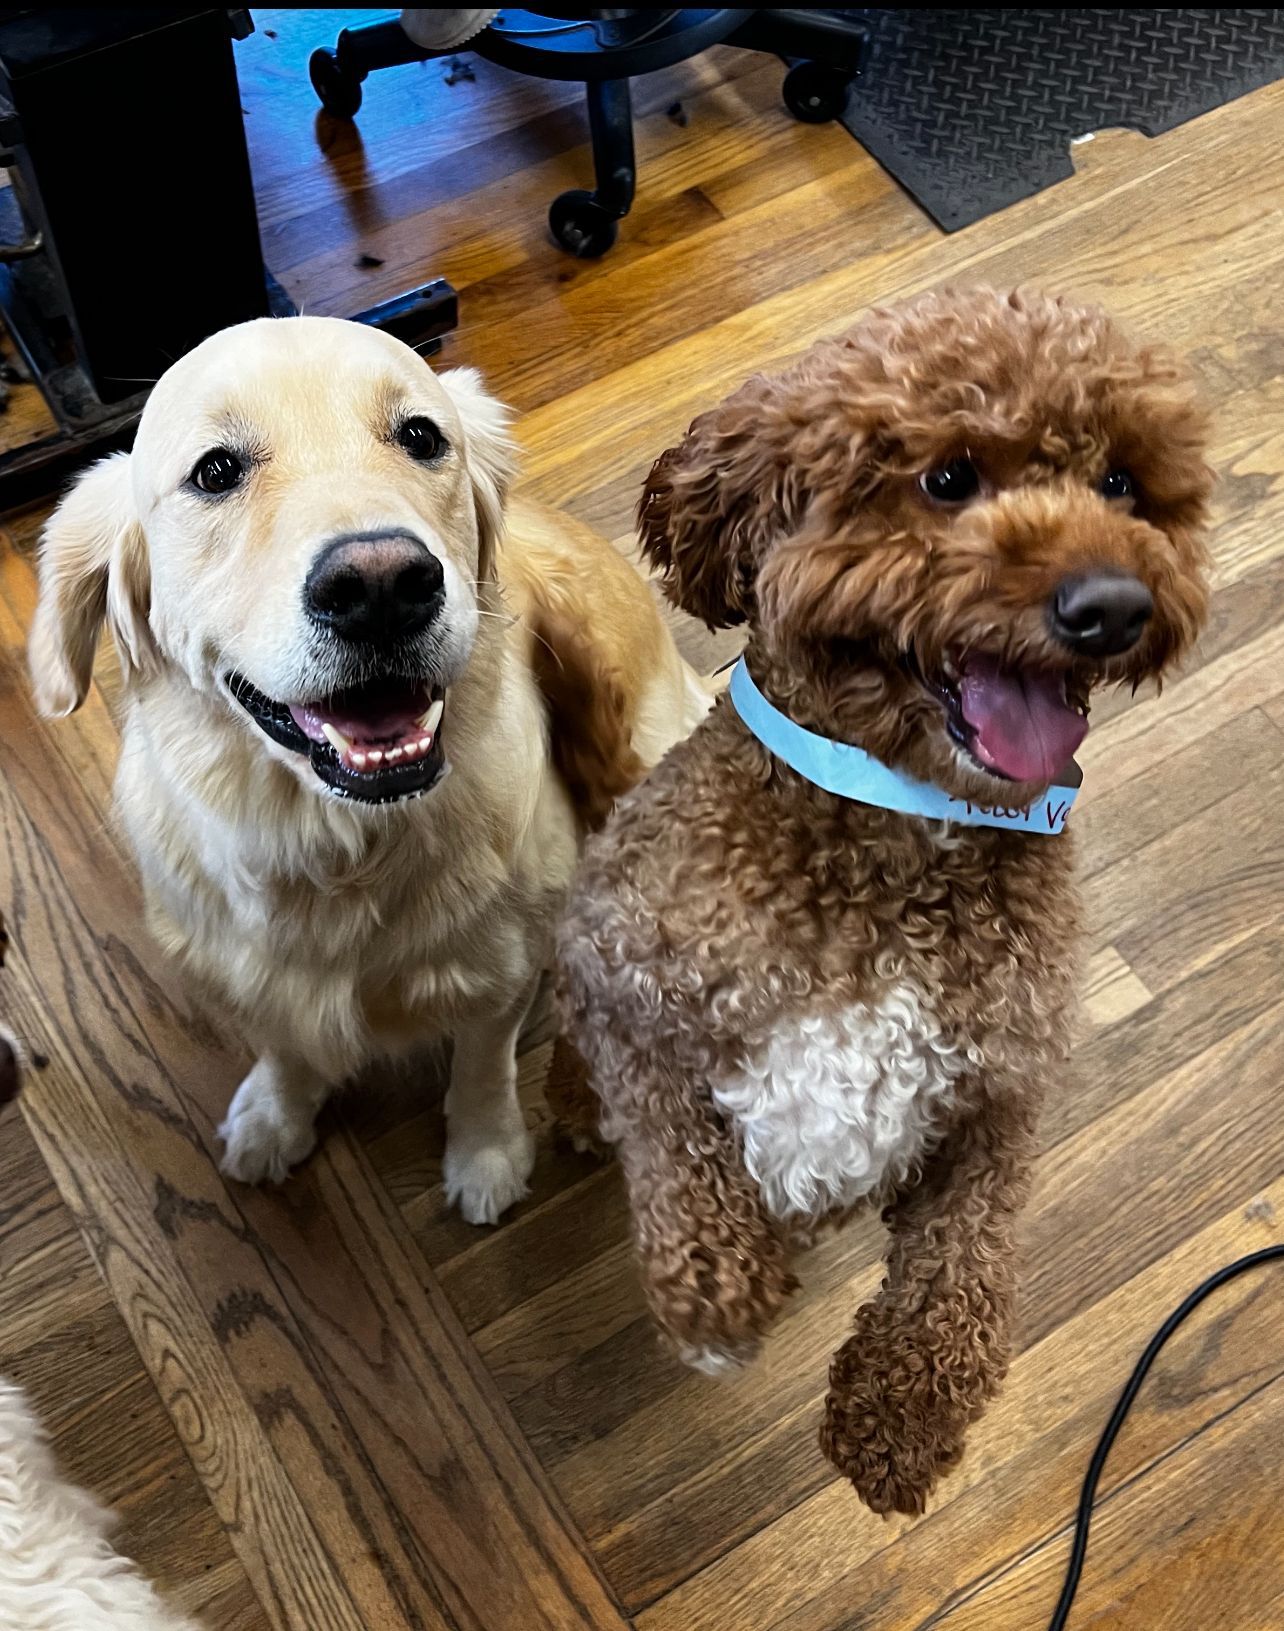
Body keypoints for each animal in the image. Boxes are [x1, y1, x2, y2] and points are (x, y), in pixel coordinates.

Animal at [27, 311, 714, 1219]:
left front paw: (487, 1153)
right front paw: (275, 1114)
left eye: (421, 437)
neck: (338, 846)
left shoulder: (501, 967)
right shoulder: (246, 969)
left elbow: (482, 1063)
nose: (383, 586)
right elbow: (284, 1042)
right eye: (215, 471)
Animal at [554, 283, 1213, 1513]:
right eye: (946, 476)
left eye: (1123, 484)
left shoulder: (997, 1091)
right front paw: (718, 1286)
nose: (1113, 604)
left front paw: (903, 1406)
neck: (899, 832)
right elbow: (671, 1139)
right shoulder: (621, 971)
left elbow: (964, 1257)